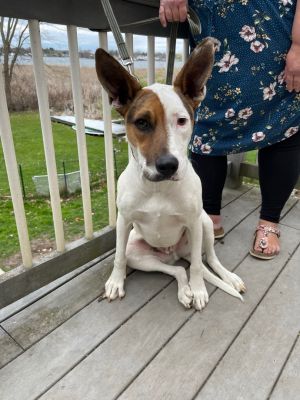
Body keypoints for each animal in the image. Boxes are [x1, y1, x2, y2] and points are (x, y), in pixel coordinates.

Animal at [96, 37, 246, 310]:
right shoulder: (123, 222)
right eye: (142, 122)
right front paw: (115, 281)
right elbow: (118, 257)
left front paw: (199, 289)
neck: (158, 187)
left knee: (206, 259)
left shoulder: (194, 223)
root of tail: (174, 252)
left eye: (182, 121)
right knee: (177, 269)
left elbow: (197, 266)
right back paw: (184, 290)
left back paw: (226, 278)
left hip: (205, 224)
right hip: (139, 254)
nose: (168, 165)